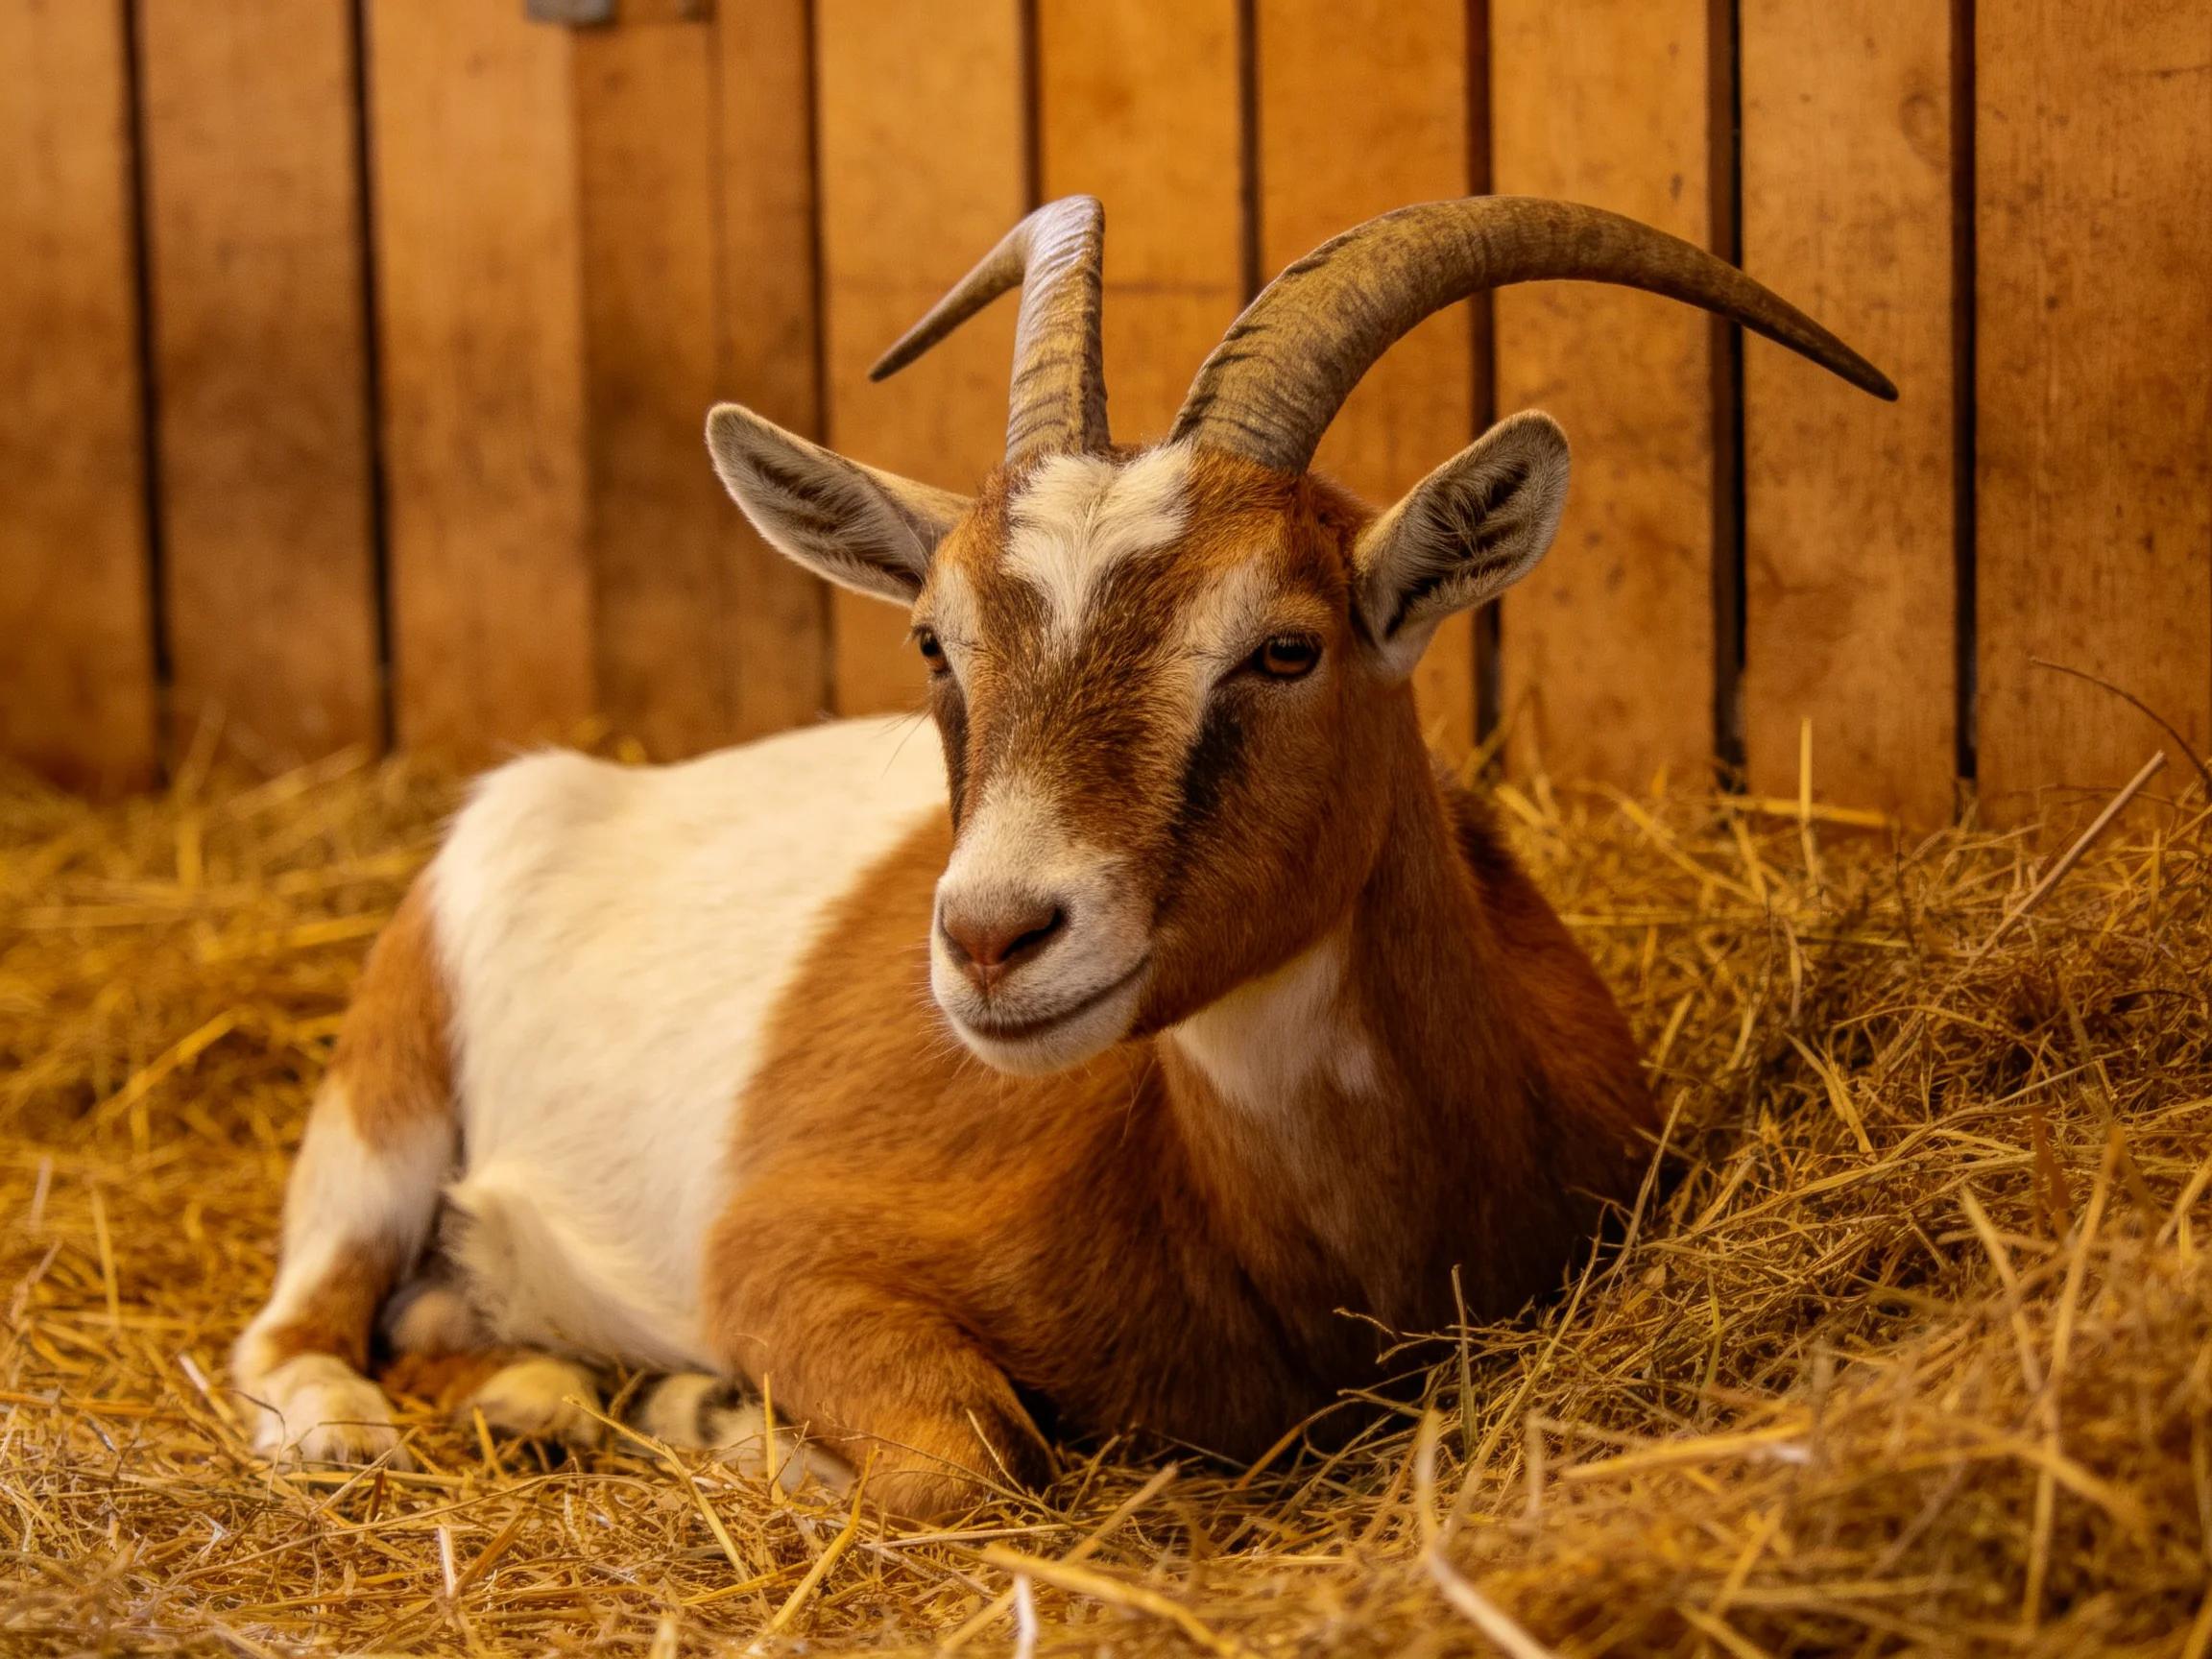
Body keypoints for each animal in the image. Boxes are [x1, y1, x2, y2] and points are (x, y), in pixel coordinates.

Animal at [231, 195, 1892, 1521]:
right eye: (935, 641)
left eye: (1285, 647)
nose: (990, 939)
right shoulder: (778, 1257)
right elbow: (968, 1468)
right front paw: (737, 1422)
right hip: (382, 1112)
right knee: (294, 1327)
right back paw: (365, 1431)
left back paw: (546, 1394)